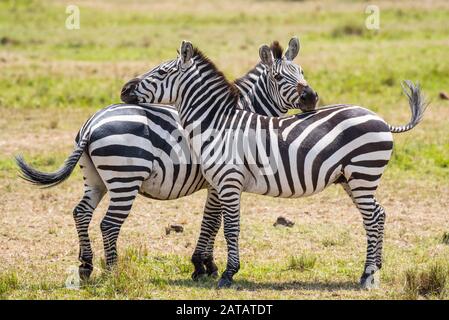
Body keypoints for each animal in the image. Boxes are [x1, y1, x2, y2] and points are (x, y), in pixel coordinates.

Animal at [15, 38, 314, 280]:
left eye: (301, 72)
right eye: (278, 78)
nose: (311, 97)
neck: (235, 113)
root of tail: (91, 124)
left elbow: (212, 220)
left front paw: (204, 265)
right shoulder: (219, 181)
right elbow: (212, 221)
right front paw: (203, 266)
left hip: (94, 177)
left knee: (81, 213)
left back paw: (86, 267)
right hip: (124, 178)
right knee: (109, 223)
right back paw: (112, 272)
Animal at [121, 40, 428, 290]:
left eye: (161, 72)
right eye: (279, 76)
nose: (124, 89)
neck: (218, 124)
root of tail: (380, 119)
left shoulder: (228, 181)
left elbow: (229, 227)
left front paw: (227, 274)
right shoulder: (218, 183)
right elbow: (216, 223)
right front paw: (209, 268)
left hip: (363, 174)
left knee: (374, 217)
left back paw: (367, 276)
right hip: (352, 179)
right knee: (379, 214)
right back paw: (373, 270)